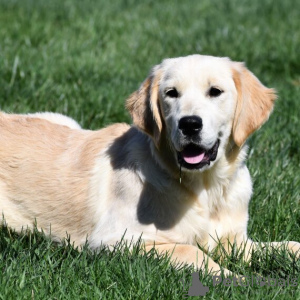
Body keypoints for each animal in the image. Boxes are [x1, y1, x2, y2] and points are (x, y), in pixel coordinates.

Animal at [0, 54, 300, 274]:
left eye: (215, 91)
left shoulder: (234, 240)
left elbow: (289, 244)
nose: (190, 124)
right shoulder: (115, 240)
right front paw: (236, 279)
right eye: (171, 93)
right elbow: (191, 250)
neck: (206, 187)